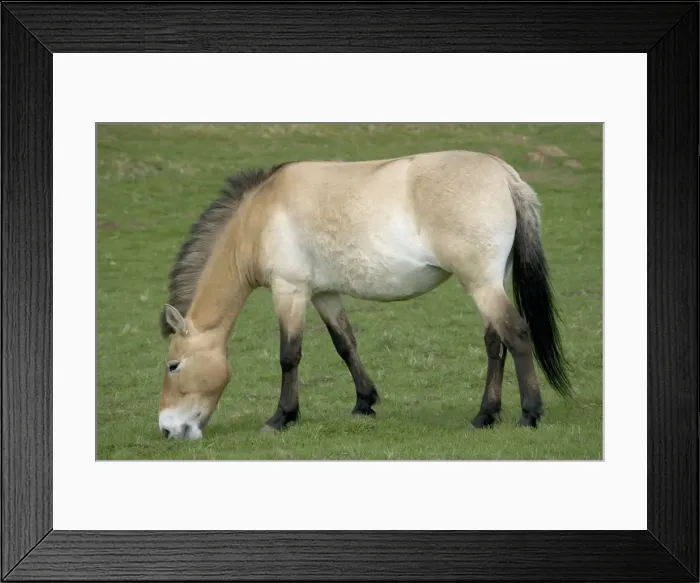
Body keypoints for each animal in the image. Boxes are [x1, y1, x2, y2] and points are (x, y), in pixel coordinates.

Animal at [157, 150, 572, 440]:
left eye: (173, 365)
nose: (167, 429)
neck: (260, 217)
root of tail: (504, 174)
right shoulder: (324, 294)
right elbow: (345, 344)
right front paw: (364, 403)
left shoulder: (290, 290)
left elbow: (289, 355)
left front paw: (281, 417)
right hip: (487, 282)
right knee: (494, 342)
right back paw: (485, 415)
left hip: (481, 283)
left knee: (515, 334)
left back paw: (529, 414)